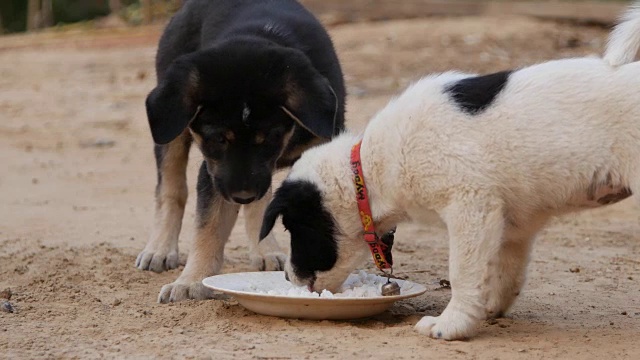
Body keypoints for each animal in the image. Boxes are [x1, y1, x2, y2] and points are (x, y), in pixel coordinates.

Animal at [136, 0, 344, 304]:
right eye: (218, 139)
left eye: (270, 137)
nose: (242, 196)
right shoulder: (213, 173)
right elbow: (207, 228)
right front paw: (191, 281)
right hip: (171, 127)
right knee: (171, 189)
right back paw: (160, 248)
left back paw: (265, 251)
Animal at [260, 4, 640, 338]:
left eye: (294, 227)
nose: (287, 279)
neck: (369, 170)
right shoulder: (514, 222)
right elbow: (504, 271)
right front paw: (487, 309)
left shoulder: (471, 207)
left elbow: (463, 272)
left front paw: (451, 325)